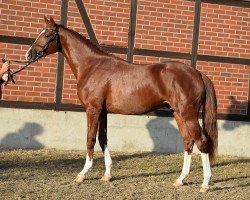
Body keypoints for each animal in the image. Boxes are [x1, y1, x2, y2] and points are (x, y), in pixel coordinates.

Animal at [25, 17, 217, 192]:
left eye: (47, 34)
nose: (29, 54)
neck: (92, 66)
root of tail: (198, 73)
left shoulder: (92, 109)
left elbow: (90, 139)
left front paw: (82, 174)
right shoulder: (103, 111)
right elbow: (102, 139)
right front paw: (107, 174)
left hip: (188, 115)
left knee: (201, 141)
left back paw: (205, 183)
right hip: (178, 114)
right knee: (188, 142)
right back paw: (180, 179)